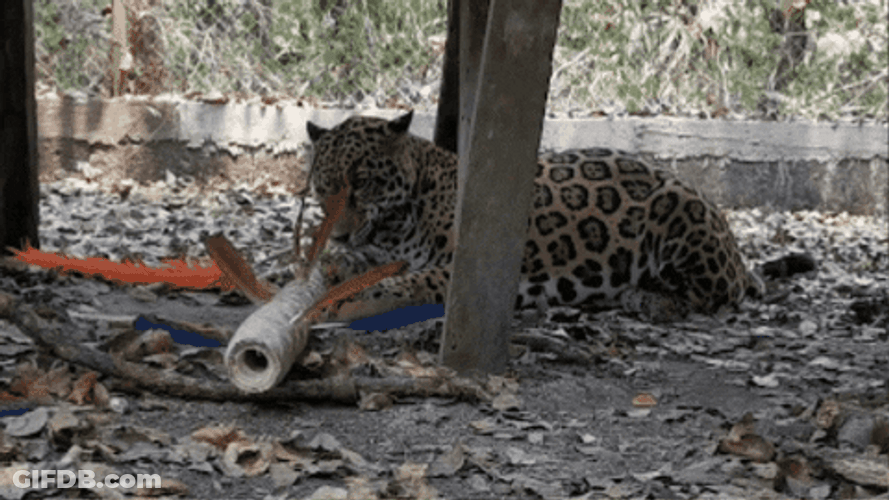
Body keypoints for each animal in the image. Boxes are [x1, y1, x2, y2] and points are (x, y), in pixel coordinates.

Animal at [302, 111, 763, 323]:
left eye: (362, 184)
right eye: (322, 188)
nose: (337, 236)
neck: (395, 225)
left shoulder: (463, 270)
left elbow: (408, 282)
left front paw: (353, 297)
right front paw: (333, 264)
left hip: (680, 211)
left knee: (722, 294)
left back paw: (649, 299)